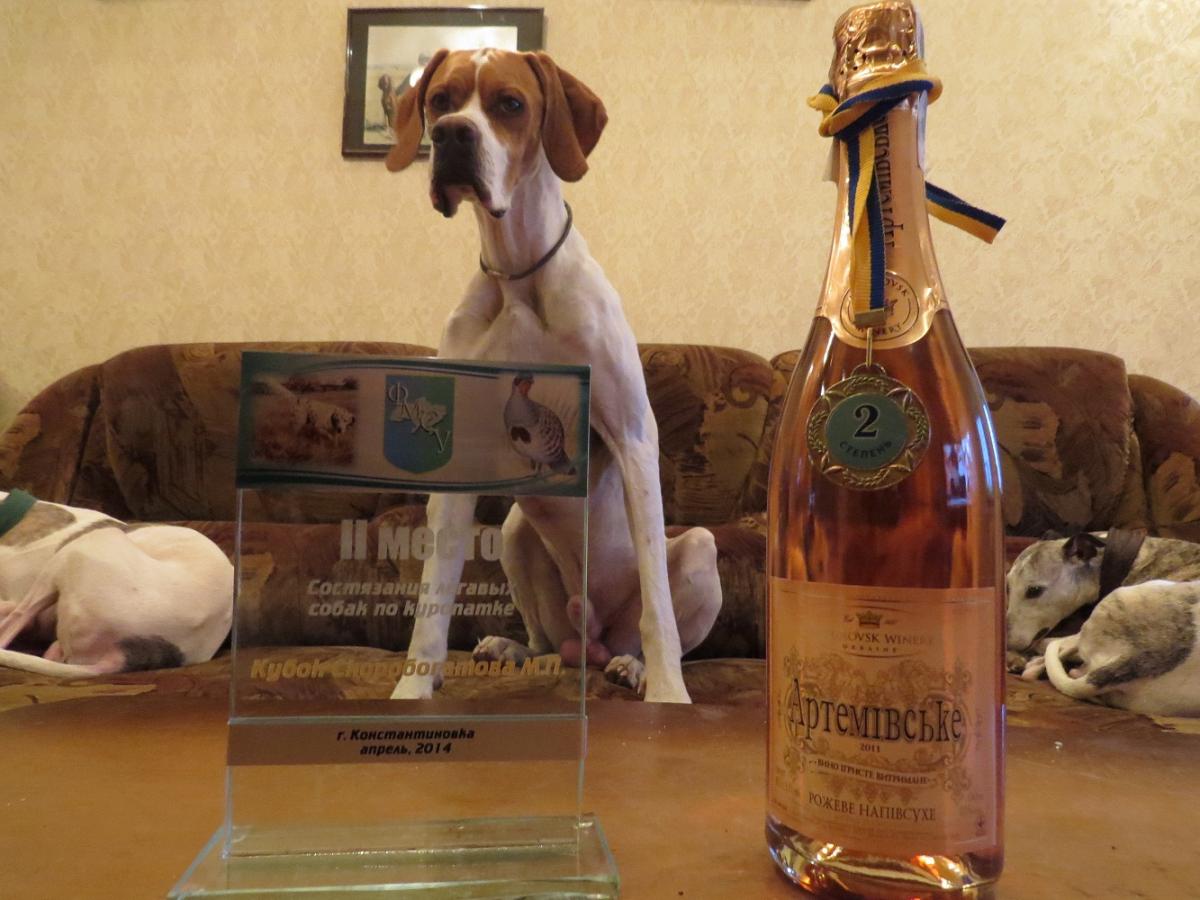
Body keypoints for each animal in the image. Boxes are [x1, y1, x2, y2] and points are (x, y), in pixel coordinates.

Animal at [383, 48, 722, 703]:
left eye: (510, 104)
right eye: (439, 100)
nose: (451, 135)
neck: (518, 273)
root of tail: (589, 641)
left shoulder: (635, 437)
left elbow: (659, 610)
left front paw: (669, 694)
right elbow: (434, 597)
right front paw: (411, 692)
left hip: (699, 547)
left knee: (643, 625)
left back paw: (635, 666)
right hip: (517, 534)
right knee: (547, 643)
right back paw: (513, 649)